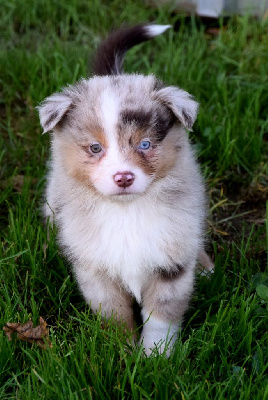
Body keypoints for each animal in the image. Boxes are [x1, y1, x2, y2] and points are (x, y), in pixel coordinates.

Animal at [36, 24, 210, 356]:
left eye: (145, 144)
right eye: (95, 148)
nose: (123, 177)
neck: (127, 210)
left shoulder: (170, 264)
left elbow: (161, 319)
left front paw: (156, 359)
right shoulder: (96, 271)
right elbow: (115, 317)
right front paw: (124, 355)